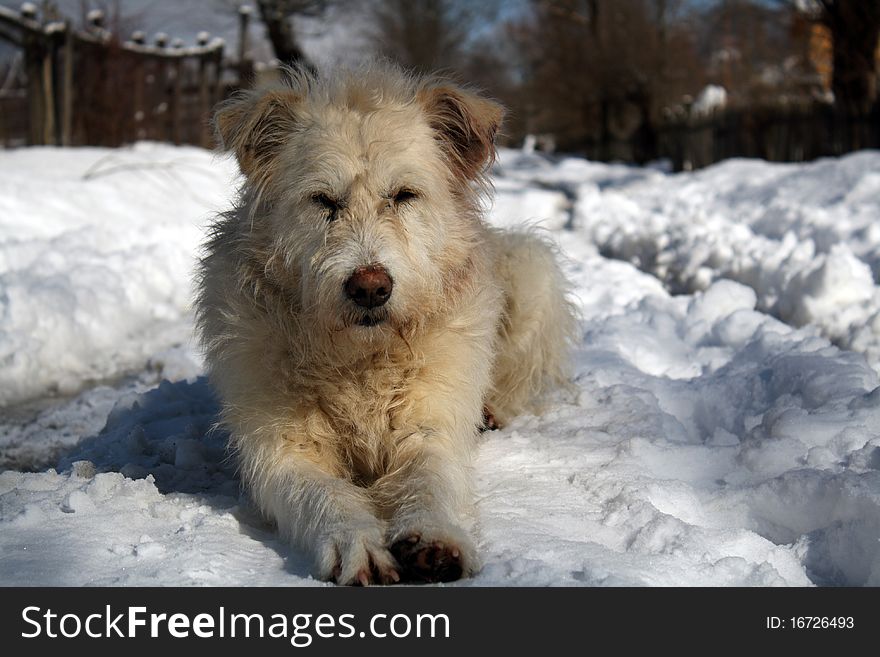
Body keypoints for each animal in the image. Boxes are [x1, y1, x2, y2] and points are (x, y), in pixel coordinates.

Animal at [195, 64, 576, 580]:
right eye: (323, 201)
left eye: (403, 195)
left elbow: (430, 480)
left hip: (531, 265)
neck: (361, 358)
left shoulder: (431, 425)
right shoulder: (282, 449)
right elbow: (323, 495)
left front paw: (434, 538)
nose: (370, 287)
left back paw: (492, 412)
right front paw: (356, 543)